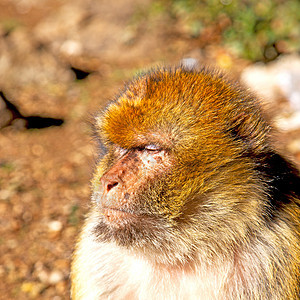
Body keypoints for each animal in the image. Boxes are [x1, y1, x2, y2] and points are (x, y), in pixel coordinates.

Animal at [71, 67, 300, 298]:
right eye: (119, 148)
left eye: (151, 149)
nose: (107, 181)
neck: (189, 254)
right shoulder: (98, 256)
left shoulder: (275, 252)